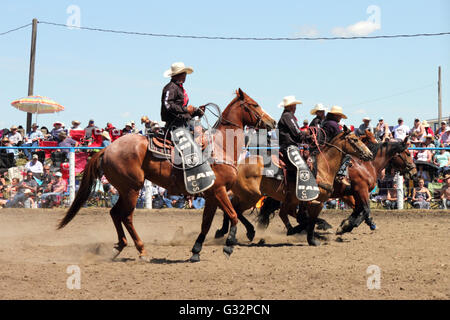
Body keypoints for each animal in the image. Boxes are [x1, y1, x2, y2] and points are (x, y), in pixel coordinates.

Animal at [58, 89, 276, 262]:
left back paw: (119, 247)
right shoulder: (219, 190)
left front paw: (196, 251)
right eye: (254, 104)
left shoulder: (211, 195)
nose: (272, 121)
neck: (220, 147)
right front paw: (229, 245)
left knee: (115, 213)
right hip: (132, 189)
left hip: (125, 189)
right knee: (126, 216)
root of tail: (108, 149)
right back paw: (141, 251)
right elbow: (232, 215)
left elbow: (206, 223)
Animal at [214, 126, 372, 246]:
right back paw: (246, 232)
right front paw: (313, 239)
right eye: (355, 139)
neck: (322, 168)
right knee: (236, 209)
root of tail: (237, 166)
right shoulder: (317, 202)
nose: (369, 154)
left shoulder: (297, 201)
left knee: (232, 208)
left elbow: (300, 218)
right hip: (251, 196)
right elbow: (309, 220)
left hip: (247, 195)